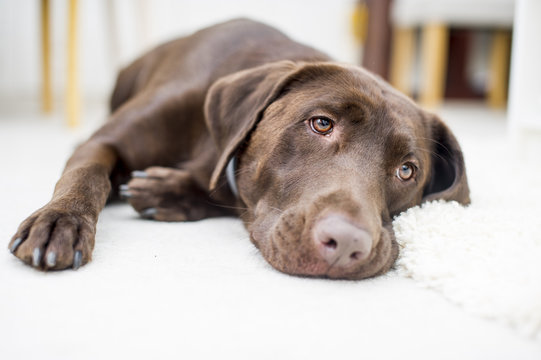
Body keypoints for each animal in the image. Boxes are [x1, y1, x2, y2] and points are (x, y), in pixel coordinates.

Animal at [6, 18, 466, 280]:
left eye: (406, 171)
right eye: (321, 123)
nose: (347, 245)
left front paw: (168, 192)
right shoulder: (103, 143)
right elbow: (86, 176)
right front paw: (60, 221)